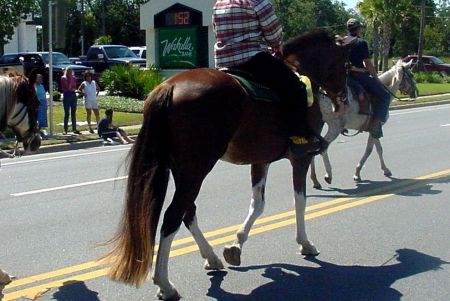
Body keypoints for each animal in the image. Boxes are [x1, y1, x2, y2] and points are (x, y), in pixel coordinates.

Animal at [103, 29, 350, 298]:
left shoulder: (261, 160)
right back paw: (165, 284)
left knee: (188, 212)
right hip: (196, 170)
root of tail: (169, 86)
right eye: (345, 65)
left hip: (182, 170)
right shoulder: (301, 158)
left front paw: (236, 246)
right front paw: (305, 243)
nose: (342, 99)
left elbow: (258, 204)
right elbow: (300, 201)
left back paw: (211, 258)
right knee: (172, 217)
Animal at [310, 59, 418, 188]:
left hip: (318, 125)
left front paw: (384, 169)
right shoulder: (376, 127)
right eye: (411, 75)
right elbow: (370, 150)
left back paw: (315, 180)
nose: (415, 93)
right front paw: (358, 173)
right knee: (323, 147)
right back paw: (328, 175)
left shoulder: (374, 128)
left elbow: (378, 148)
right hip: (335, 126)